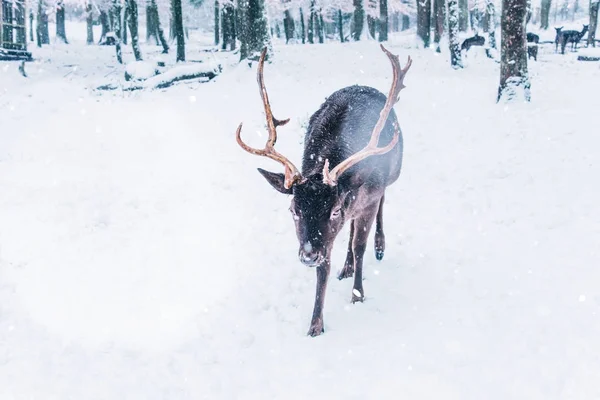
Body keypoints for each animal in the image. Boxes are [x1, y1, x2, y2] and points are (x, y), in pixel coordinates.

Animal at [236, 45, 412, 336]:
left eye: (334, 210)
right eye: (293, 210)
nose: (308, 255)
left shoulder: (368, 196)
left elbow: (359, 245)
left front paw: (357, 295)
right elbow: (325, 266)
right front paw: (315, 325)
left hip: (390, 176)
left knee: (380, 206)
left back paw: (379, 247)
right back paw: (346, 267)